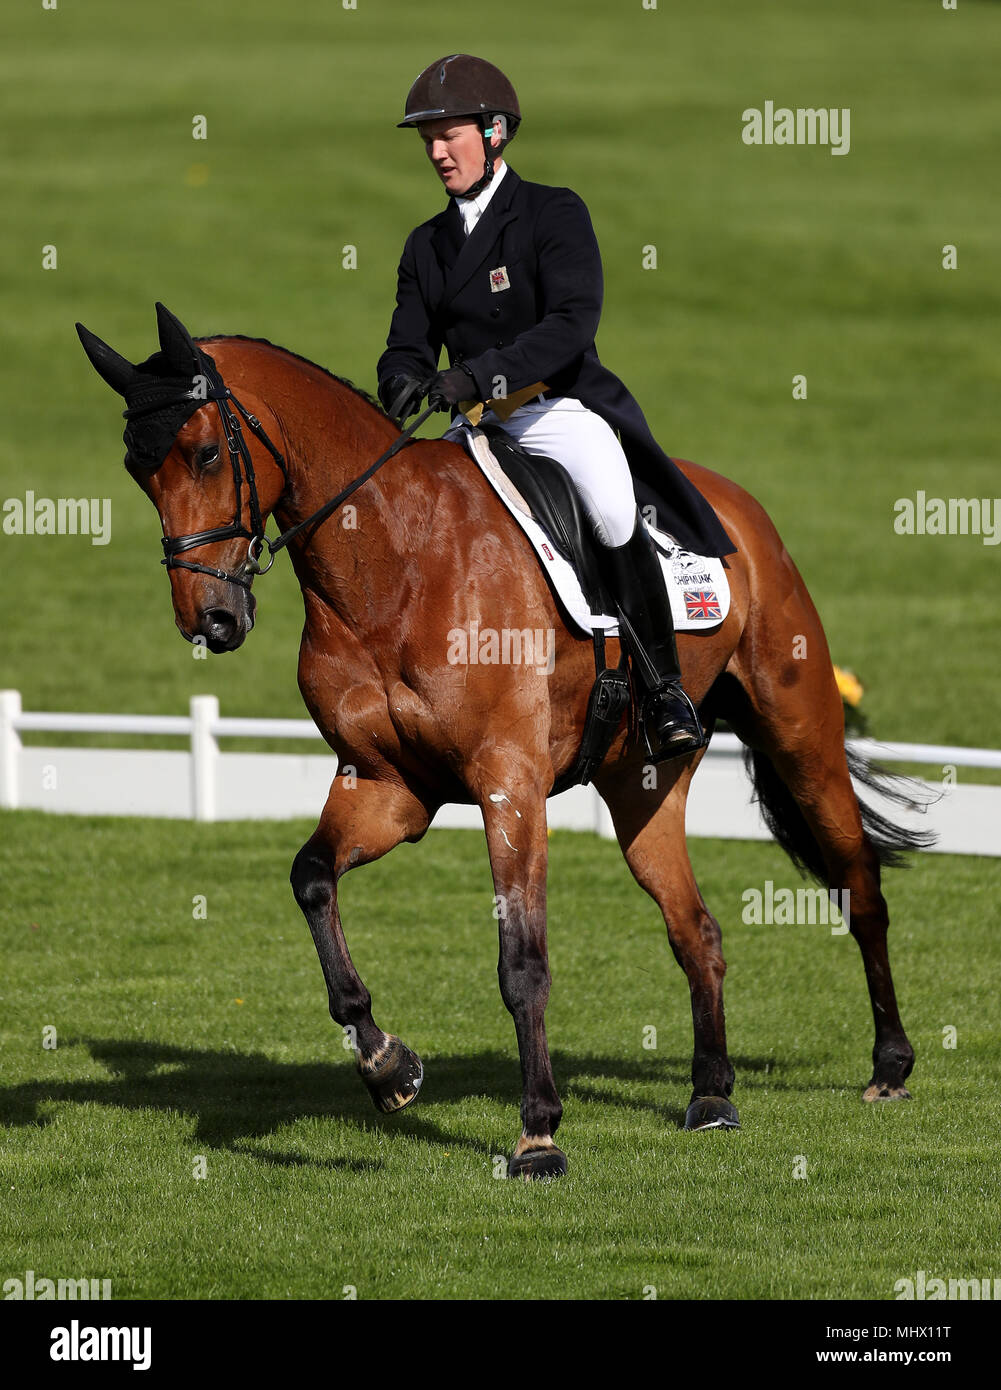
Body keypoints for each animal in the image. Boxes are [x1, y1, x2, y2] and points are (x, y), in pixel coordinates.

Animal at [78, 307, 928, 1184]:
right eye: (137, 470)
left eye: (207, 453)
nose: (210, 621)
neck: (390, 564)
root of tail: (729, 500)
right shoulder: (388, 787)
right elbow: (310, 878)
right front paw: (387, 1066)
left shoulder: (508, 784)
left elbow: (521, 961)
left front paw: (537, 1134)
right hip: (642, 782)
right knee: (697, 929)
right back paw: (711, 1095)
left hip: (799, 729)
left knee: (859, 884)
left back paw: (889, 1065)